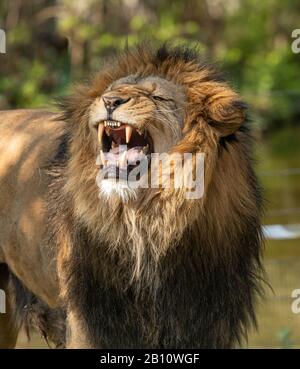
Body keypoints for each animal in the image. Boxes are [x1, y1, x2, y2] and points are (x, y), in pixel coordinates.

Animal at [0, 44, 262, 346]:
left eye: (158, 97)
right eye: (112, 90)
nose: (110, 100)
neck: (147, 222)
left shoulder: (206, 321)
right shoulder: (90, 319)